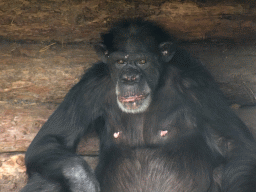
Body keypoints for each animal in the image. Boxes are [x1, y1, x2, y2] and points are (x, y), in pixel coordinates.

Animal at [21, 18, 256, 192]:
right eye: (120, 62)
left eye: (142, 61)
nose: (130, 77)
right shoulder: (90, 86)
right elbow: (50, 140)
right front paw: (82, 181)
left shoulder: (198, 84)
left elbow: (236, 146)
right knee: (48, 180)